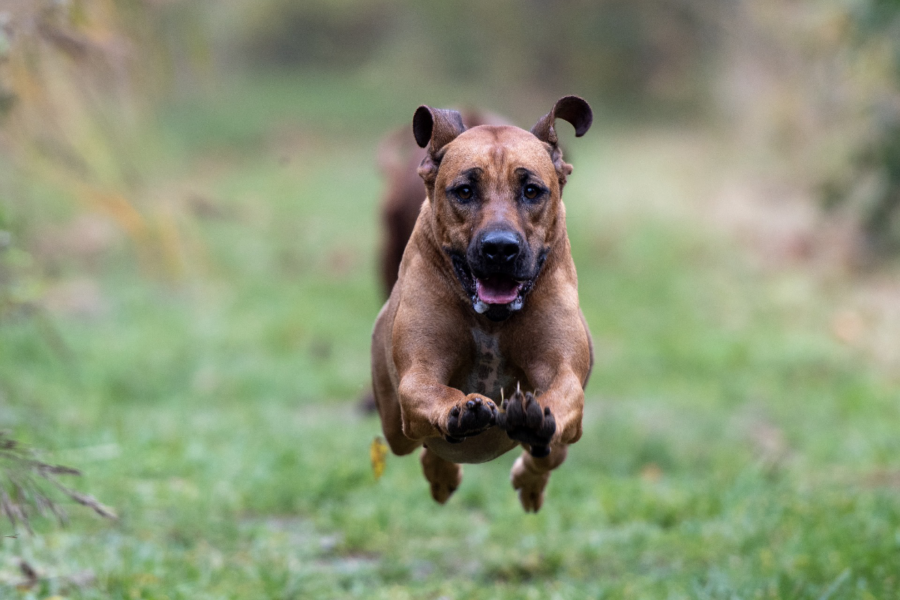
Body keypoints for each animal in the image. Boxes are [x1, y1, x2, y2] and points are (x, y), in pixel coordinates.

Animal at [370, 97, 596, 510]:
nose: (500, 248)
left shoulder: (565, 371)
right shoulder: (417, 372)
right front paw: (461, 409)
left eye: (531, 190)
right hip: (394, 425)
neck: (493, 318)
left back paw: (529, 478)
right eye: (464, 191)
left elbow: (562, 392)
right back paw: (441, 473)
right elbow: (430, 389)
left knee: (551, 452)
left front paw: (533, 419)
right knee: (419, 442)